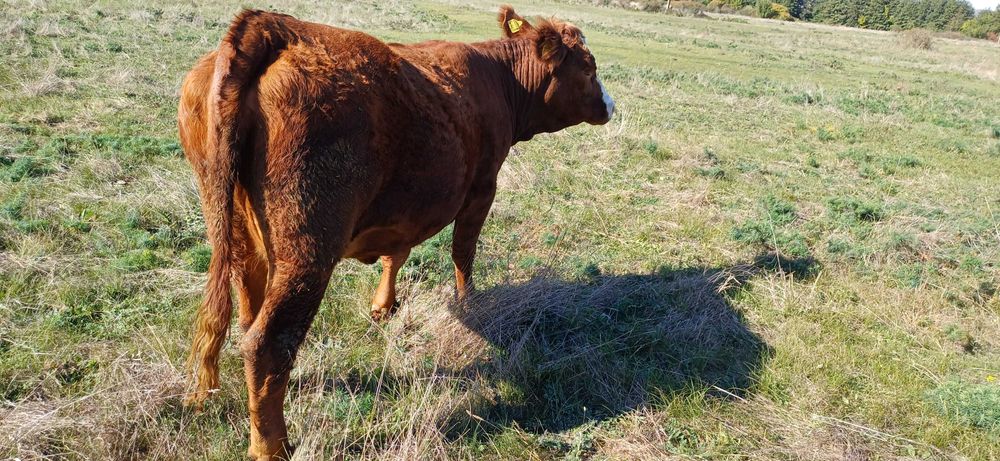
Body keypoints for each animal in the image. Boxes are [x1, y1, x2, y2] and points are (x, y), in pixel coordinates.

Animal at [177, 5, 614, 459]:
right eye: (588, 68)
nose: (610, 105)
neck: (499, 79)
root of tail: (274, 26)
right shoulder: (482, 188)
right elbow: (464, 252)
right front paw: (469, 302)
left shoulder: (404, 210)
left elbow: (395, 255)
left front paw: (383, 307)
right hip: (307, 249)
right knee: (268, 343)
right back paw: (272, 446)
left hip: (238, 235)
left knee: (248, 319)